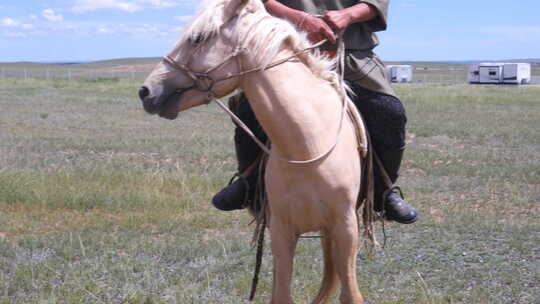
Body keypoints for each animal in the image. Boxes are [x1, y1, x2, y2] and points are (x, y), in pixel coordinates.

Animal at [137, 0, 374, 302]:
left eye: (198, 38)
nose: (146, 91)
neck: (307, 148)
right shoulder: (281, 230)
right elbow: (281, 294)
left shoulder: (345, 228)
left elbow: (350, 294)